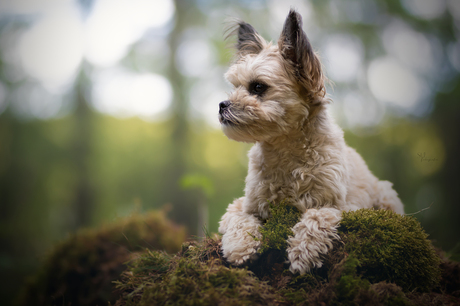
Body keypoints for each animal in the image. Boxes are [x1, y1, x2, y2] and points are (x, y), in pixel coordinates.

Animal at [217, 9, 404, 274]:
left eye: (258, 87)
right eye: (235, 87)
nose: (222, 105)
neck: (285, 154)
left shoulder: (338, 206)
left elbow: (316, 217)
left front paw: (302, 253)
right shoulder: (244, 204)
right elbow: (239, 219)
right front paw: (239, 247)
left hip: (387, 197)